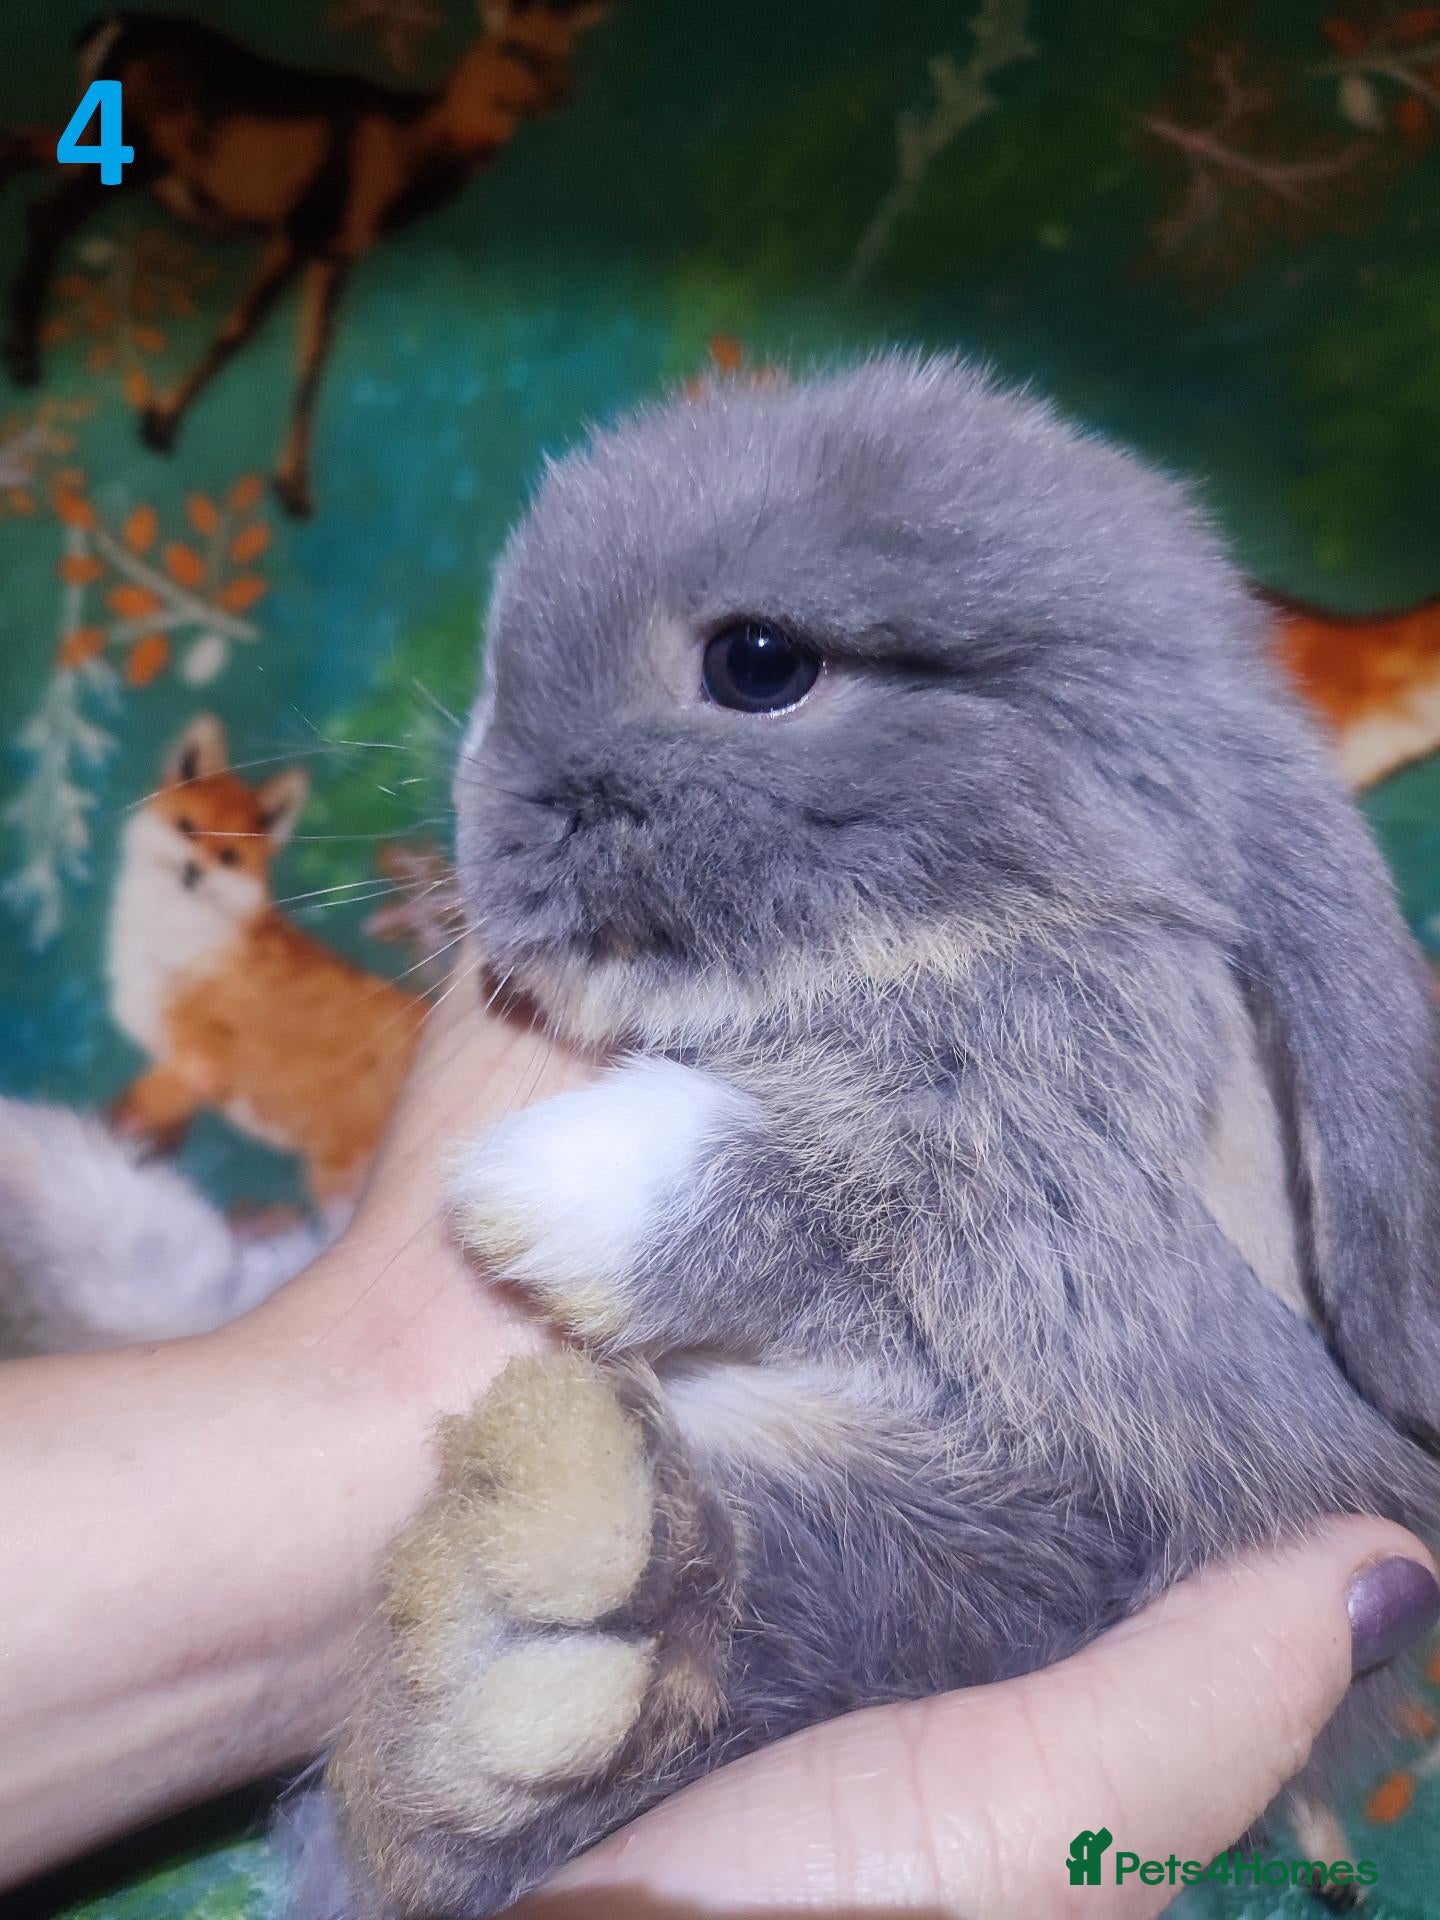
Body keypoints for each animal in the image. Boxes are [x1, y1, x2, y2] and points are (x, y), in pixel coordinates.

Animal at [286, 354, 1440, 1919]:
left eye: (760, 662)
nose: (488, 856)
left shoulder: (1057, 1207)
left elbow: (869, 1186)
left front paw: (539, 1189)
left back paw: (569, 1599)